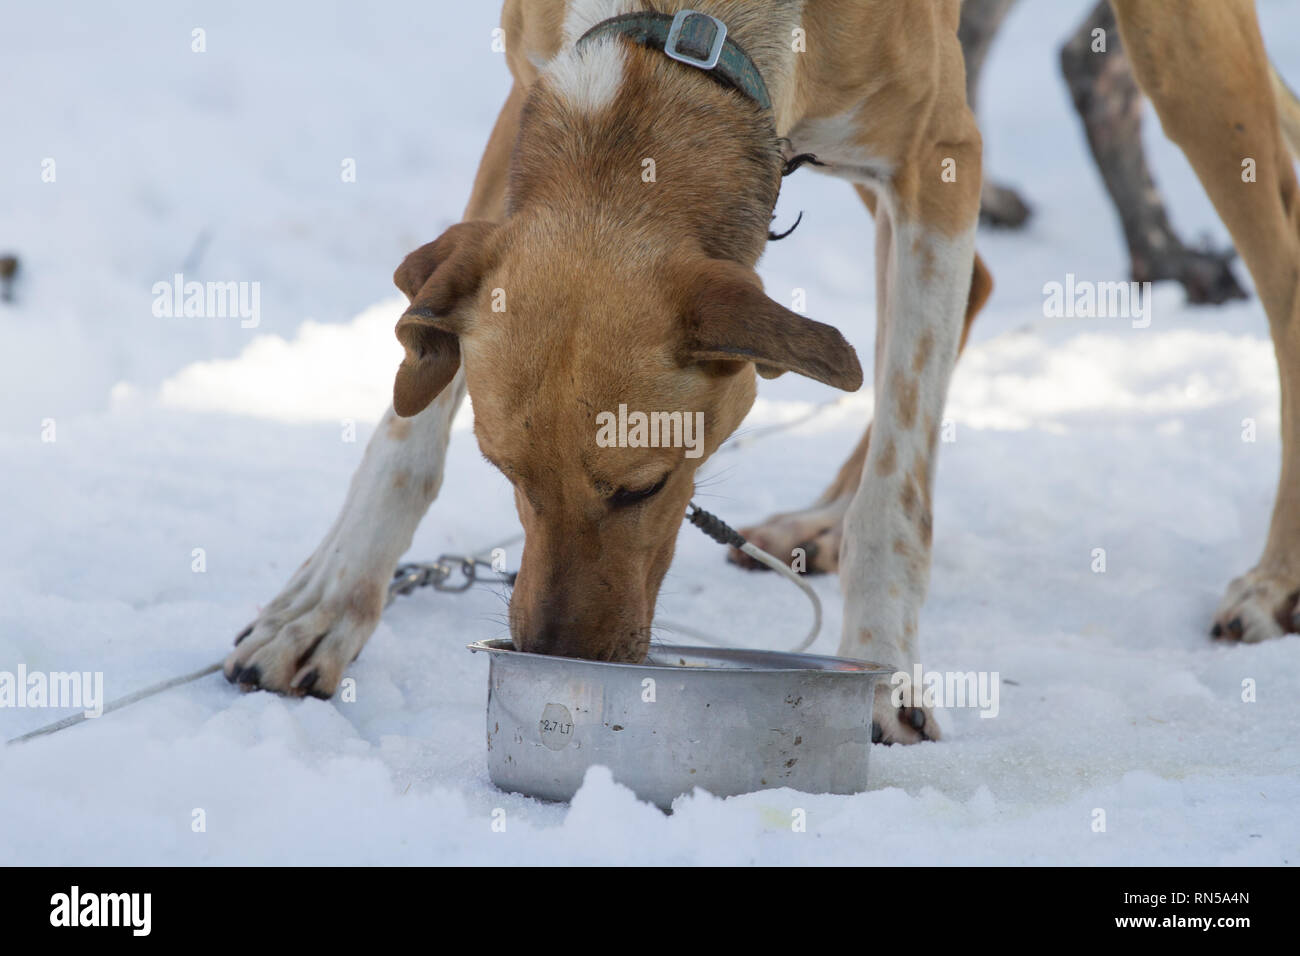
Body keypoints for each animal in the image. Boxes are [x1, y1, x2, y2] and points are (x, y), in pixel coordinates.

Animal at [228, 0, 1300, 749]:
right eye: (506, 475)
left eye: (645, 487)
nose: (554, 660)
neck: (691, 32)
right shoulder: (527, 108)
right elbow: (412, 421)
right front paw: (327, 603)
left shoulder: (939, 153)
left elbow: (903, 481)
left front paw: (881, 670)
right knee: (979, 285)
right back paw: (820, 519)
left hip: (1174, 53)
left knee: (1280, 274)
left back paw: (1275, 575)